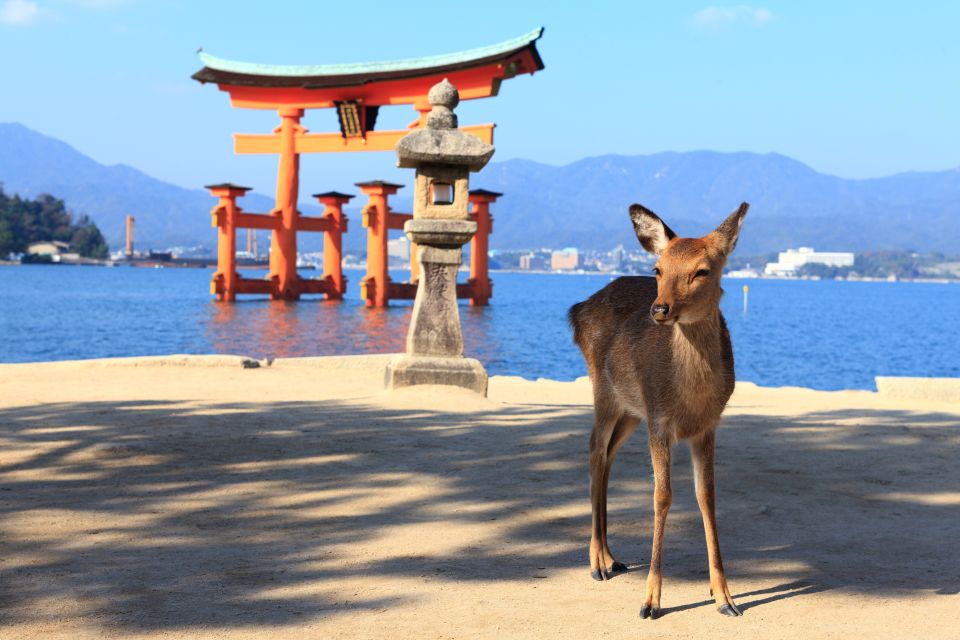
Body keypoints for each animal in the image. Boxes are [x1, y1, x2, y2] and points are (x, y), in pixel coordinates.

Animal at [568, 201, 752, 620]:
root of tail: (577, 309)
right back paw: (596, 561)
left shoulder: (707, 426)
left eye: (702, 270)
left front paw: (725, 597)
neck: (691, 398)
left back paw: (611, 557)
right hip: (604, 389)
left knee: (608, 454)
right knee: (593, 448)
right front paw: (651, 600)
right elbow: (661, 496)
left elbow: (707, 496)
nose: (660, 309)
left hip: (631, 410)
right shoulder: (660, 421)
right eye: (658, 269)